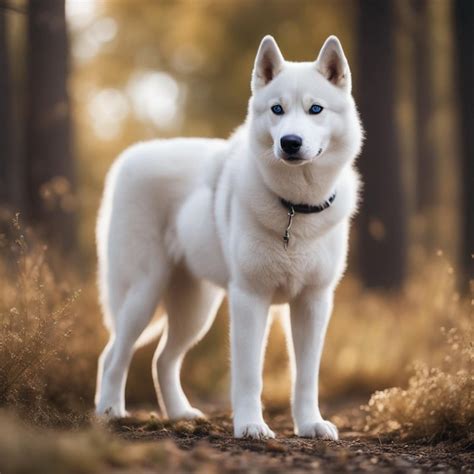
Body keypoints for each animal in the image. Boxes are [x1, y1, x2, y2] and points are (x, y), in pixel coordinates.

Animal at [95, 34, 362, 440]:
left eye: (315, 109)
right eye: (277, 109)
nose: (290, 142)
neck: (294, 208)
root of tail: (128, 158)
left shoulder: (313, 302)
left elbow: (306, 377)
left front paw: (310, 424)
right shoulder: (250, 299)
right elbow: (249, 375)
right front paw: (251, 426)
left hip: (195, 310)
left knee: (162, 359)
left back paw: (181, 414)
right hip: (143, 294)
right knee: (113, 354)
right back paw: (110, 411)